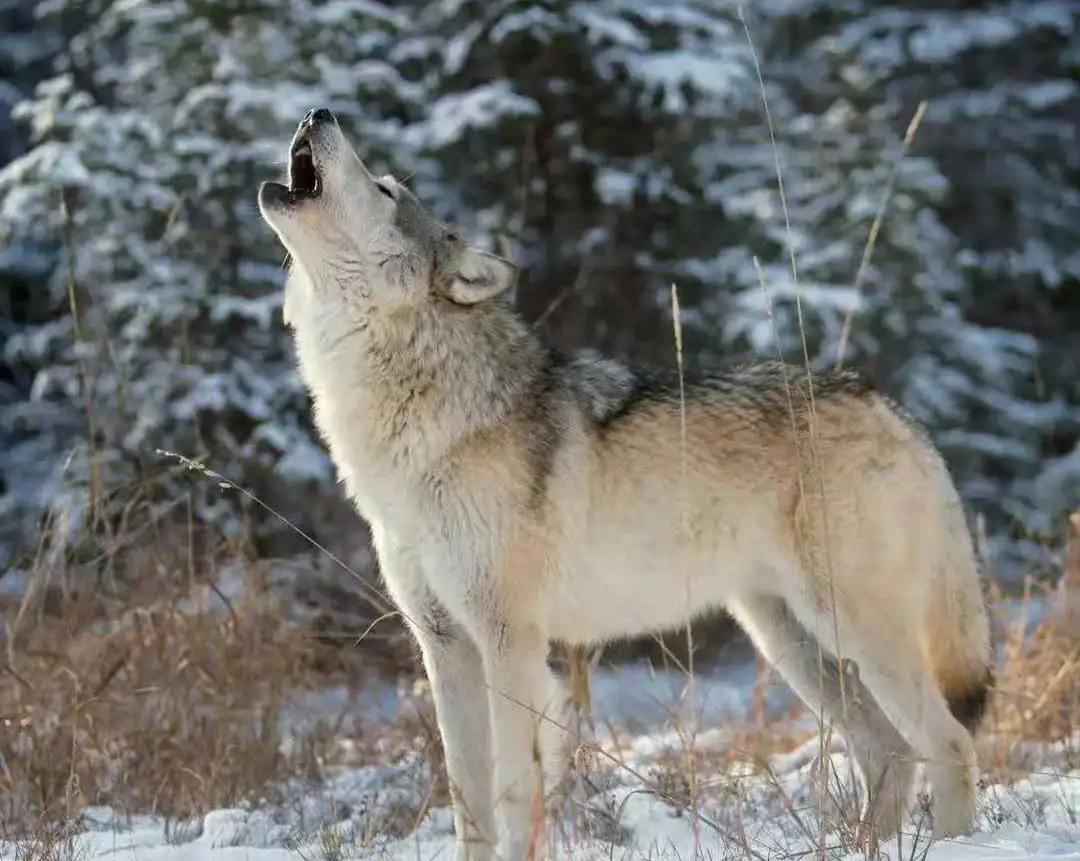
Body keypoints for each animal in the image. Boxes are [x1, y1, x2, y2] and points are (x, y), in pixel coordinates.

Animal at [259, 109, 993, 859]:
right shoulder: (445, 646)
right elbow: (468, 802)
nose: (318, 114)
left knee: (950, 742)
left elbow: (511, 791)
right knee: (890, 752)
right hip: (793, 643)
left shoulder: (510, 643)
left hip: (855, 635)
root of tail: (895, 408)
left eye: (383, 189)